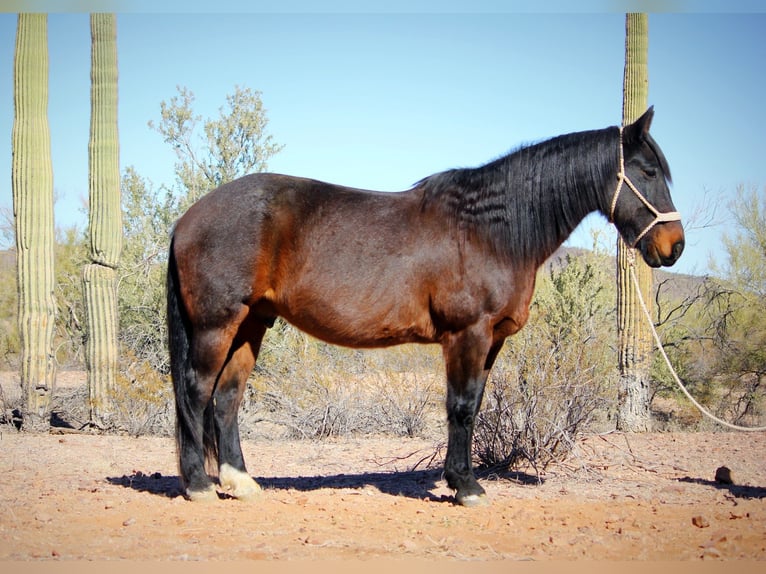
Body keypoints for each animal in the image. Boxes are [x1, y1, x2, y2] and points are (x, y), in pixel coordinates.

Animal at [166, 106, 684, 506]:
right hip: (215, 325)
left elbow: (472, 405)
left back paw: (240, 482)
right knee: (194, 391)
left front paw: (460, 479)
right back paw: (199, 486)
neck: (490, 230)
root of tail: (188, 218)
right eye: (647, 171)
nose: (673, 246)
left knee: (227, 398)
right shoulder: (467, 334)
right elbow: (462, 407)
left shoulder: (490, 341)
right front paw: (466, 487)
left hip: (252, 324)